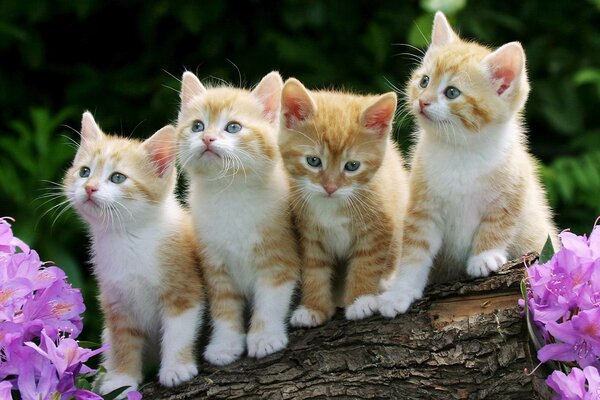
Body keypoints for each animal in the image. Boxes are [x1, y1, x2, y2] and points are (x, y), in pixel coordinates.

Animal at [62, 113, 204, 396]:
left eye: (118, 178)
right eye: (84, 172)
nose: (89, 188)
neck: (128, 238)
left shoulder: (183, 288)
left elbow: (178, 331)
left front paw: (176, 368)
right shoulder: (116, 300)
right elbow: (122, 341)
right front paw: (120, 380)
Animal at [177, 71, 300, 366]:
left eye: (233, 127)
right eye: (197, 126)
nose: (207, 138)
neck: (229, 193)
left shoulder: (279, 256)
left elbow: (270, 301)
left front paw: (265, 337)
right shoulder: (214, 264)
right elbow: (224, 308)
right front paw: (224, 344)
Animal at [278, 79, 410, 328]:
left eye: (352, 166)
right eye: (313, 161)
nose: (330, 187)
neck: (332, 206)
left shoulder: (379, 228)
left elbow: (366, 264)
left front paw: (360, 301)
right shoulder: (309, 234)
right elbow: (314, 270)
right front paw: (313, 308)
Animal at [380, 12, 556, 318]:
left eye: (452, 92)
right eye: (424, 81)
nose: (422, 101)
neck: (459, 152)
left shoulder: (515, 185)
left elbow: (500, 222)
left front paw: (484, 257)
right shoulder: (422, 207)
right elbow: (413, 252)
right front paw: (400, 292)